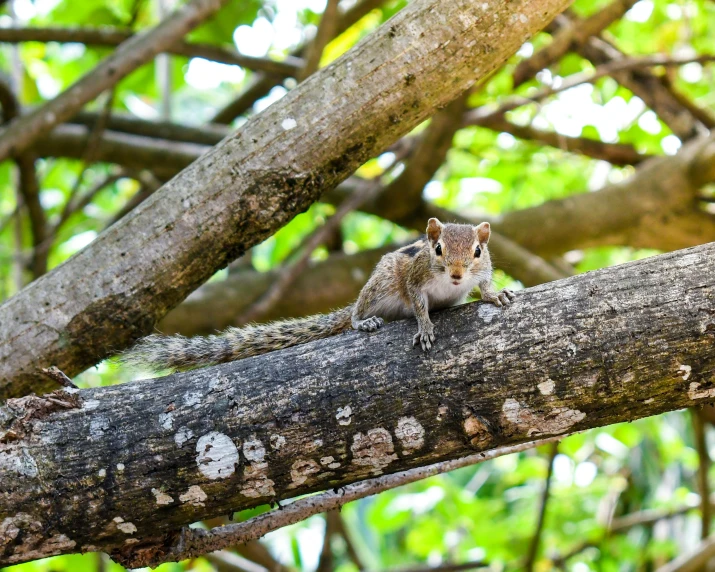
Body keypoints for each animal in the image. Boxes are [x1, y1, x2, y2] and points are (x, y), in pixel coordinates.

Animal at [121, 217, 516, 374]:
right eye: (437, 249)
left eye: (477, 252)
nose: (457, 274)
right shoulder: (413, 278)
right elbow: (418, 303)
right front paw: (425, 326)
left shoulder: (482, 271)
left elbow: (485, 284)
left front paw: (496, 295)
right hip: (382, 283)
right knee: (358, 310)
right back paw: (362, 321)